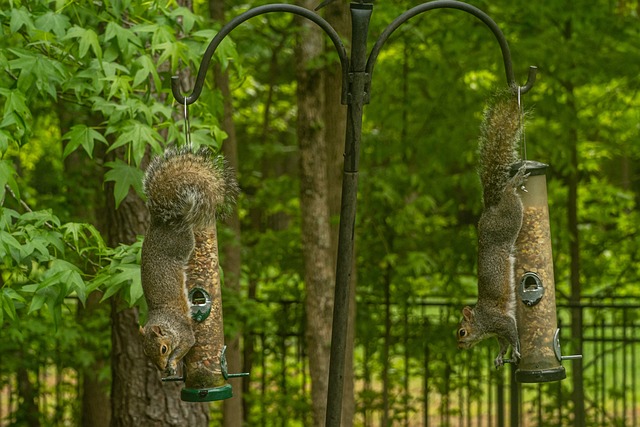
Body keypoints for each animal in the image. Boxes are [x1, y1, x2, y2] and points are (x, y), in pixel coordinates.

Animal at [139, 147, 238, 378]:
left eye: (163, 349)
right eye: (146, 353)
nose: (161, 368)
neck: (166, 321)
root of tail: (160, 221)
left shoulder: (184, 333)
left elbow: (187, 344)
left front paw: (173, 363)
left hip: (181, 242)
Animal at [458, 88, 528, 368]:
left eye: (461, 332)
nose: (459, 347)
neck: (482, 323)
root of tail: (490, 207)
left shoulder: (500, 321)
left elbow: (511, 332)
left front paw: (517, 350)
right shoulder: (497, 331)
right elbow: (502, 342)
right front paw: (500, 357)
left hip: (509, 219)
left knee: (510, 194)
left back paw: (513, 183)